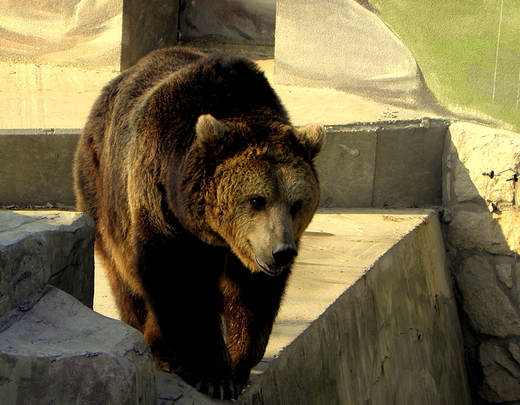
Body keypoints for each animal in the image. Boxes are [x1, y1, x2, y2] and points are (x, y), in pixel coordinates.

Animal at [74, 46, 320, 398]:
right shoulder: (164, 200)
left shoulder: (249, 250)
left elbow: (253, 294)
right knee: (123, 272)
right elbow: (181, 280)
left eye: (297, 204)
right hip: (102, 184)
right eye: (256, 200)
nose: (281, 252)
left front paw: (238, 365)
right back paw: (154, 343)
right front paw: (214, 376)